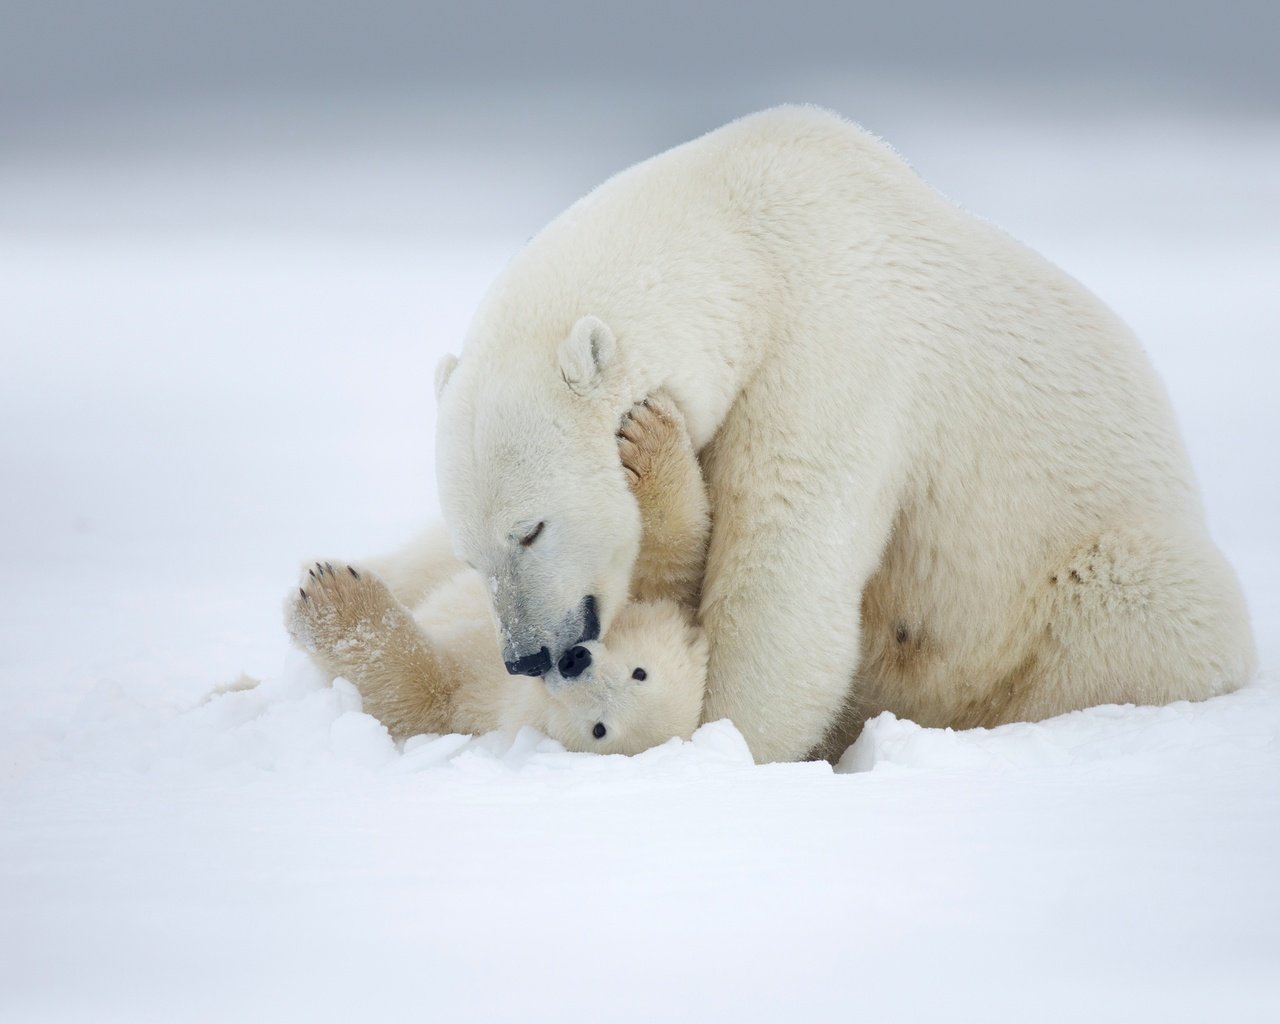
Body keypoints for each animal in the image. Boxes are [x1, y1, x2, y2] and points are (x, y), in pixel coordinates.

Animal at [424, 106, 1254, 757]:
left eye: (530, 529)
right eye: (473, 553)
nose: (527, 655)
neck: (748, 236)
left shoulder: (834, 351)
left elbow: (784, 575)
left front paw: (718, 741)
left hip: (1093, 575)